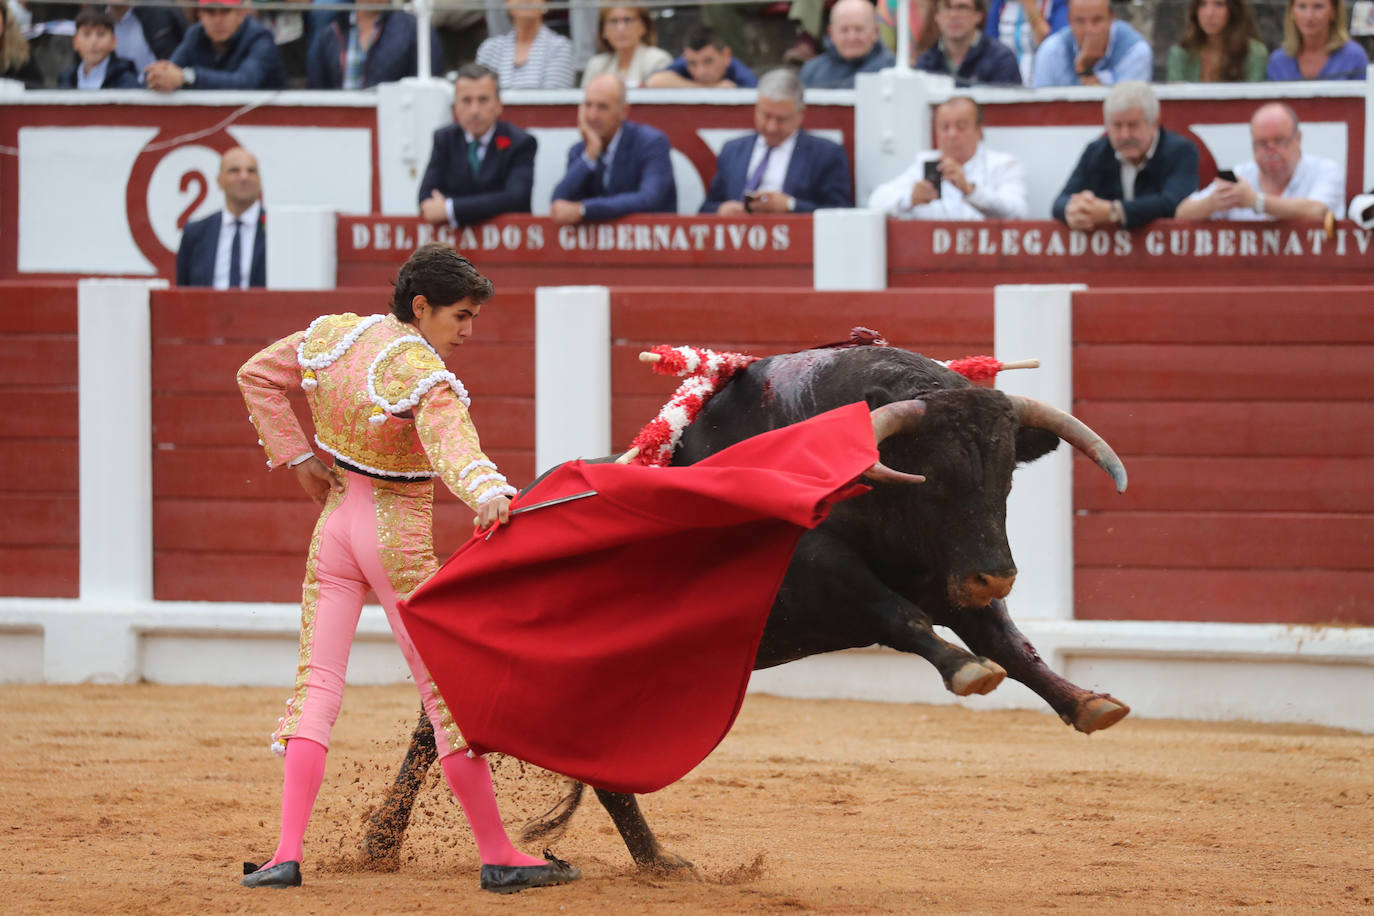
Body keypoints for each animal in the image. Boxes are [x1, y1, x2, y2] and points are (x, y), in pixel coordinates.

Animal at [359, 347, 1132, 873]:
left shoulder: (940, 578)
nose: (994, 573)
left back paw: (657, 862)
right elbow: (899, 617)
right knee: (434, 730)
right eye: (931, 475)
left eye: (1005, 477)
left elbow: (1011, 643)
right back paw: (377, 844)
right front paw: (967, 672)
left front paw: (1089, 702)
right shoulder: (826, 579)